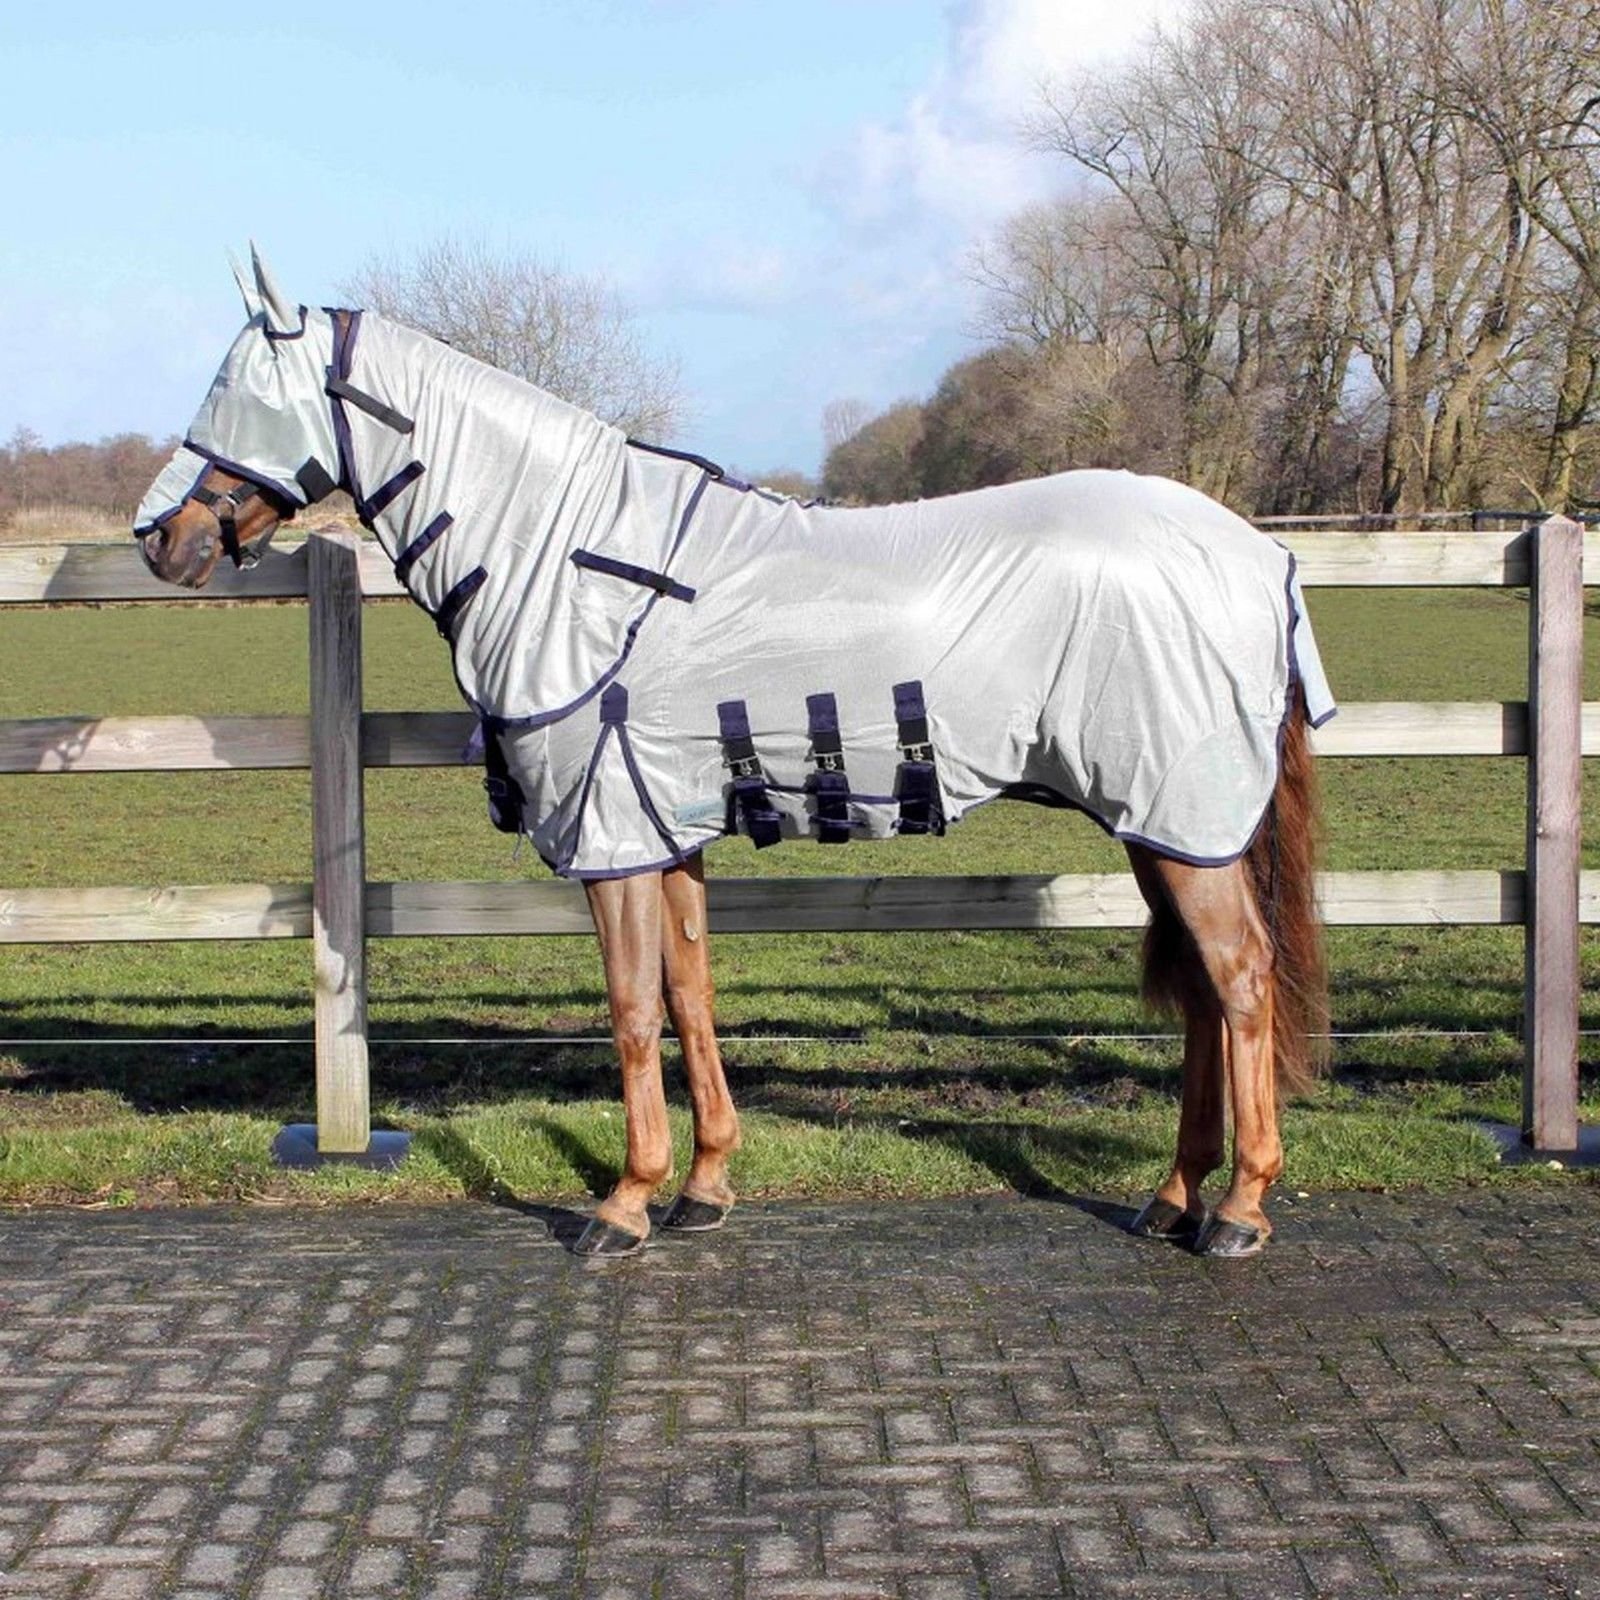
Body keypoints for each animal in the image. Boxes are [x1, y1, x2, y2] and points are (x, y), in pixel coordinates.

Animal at [136, 248, 1334, 1259]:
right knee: (1201, 996)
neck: (572, 562)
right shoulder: (665, 832)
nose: (162, 542)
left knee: (1239, 983)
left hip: (1180, 821)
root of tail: (1256, 552)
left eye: (237, 390)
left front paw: (623, 1205)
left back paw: (1238, 1209)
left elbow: (629, 1013)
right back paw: (1172, 1197)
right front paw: (703, 1186)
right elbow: (689, 994)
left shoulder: (612, 841)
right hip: (1161, 827)